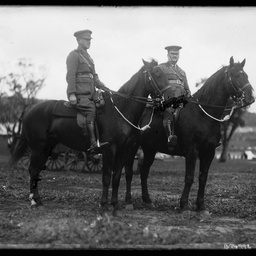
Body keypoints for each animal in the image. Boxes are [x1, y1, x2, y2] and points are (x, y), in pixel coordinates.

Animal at [8, 59, 174, 215]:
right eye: (157, 74)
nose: (171, 98)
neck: (120, 111)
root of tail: (29, 111)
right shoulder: (109, 150)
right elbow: (106, 177)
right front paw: (104, 205)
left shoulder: (122, 151)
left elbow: (116, 178)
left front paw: (115, 206)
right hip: (38, 148)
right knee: (32, 170)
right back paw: (34, 202)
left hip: (46, 149)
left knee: (36, 171)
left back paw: (39, 202)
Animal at [123, 57, 254, 215]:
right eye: (236, 75)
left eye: (246, 75)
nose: (251, 97)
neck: (203, 115)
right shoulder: (192, 152)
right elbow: (189, 178)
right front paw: (184, 205)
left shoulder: (208, 152)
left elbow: (203, 177)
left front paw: (201, 206)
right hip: (133, 147)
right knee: (129, 171)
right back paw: (128, 202)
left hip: (150, 149)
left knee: (144, 171)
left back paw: (147, 200)